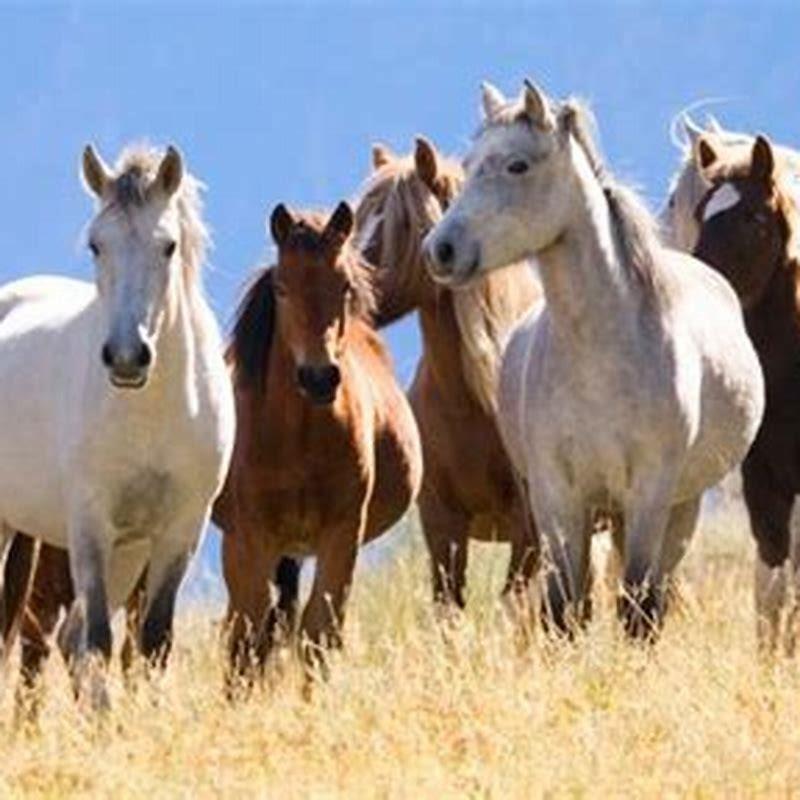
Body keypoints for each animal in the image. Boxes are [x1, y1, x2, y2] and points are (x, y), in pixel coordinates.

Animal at [0, 144, 235, 708]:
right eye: (96, 245)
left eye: (169, 246)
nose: (127, 358)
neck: (150, 413)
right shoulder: (90, 527)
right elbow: (100, 642)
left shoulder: (177, 531)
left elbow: (152, 643)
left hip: (129, 551)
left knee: (69, 641)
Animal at [213, 202, 422, 681]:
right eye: (282, 288)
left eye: (343, 286)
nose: (319, 377)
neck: (297, 437)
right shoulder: (248, 538)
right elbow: (248, 639)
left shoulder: (341, 534)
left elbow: (318, 634)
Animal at [424, 80, 765, 638]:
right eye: (470, 163)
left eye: (517, 165)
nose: (440, 250)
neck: (599, 355)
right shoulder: (556, 495)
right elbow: (564, 610)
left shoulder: (650, 492)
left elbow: (638, 608)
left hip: (678, 507)